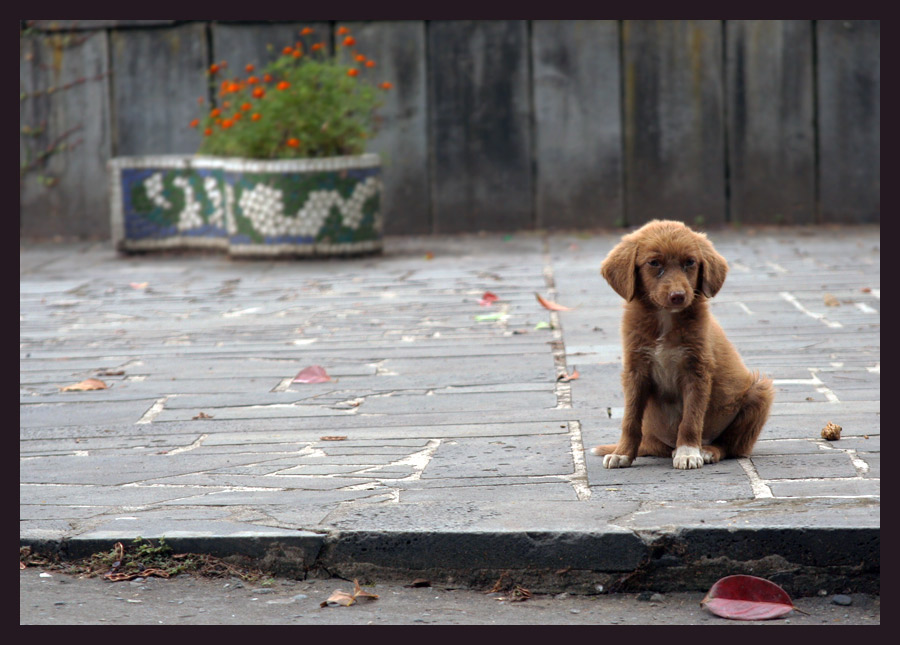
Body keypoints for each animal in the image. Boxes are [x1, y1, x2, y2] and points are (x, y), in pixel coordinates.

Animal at [592, 220, 772, 468]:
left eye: (690, 262)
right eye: (654, 263)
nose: (678, 296)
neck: (665, 318)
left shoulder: (696, 370)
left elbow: (691, 418)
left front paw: (688, 452)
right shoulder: (635, 370)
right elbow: (630, 418)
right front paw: (622, 453)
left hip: (759, 392)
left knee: (731, 446)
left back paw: (706, 451)